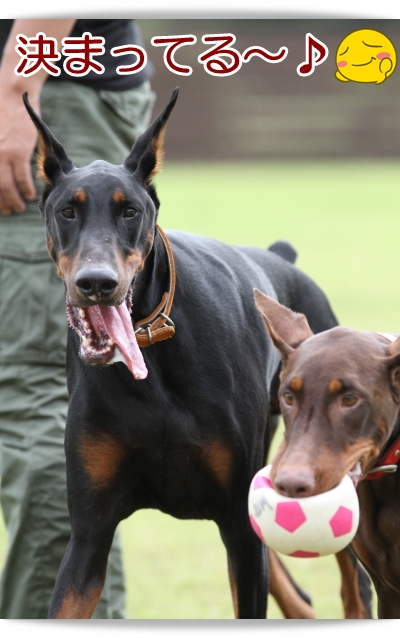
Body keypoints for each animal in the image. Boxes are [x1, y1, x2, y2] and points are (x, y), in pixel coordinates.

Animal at [23, 90, 362, 620]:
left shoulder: (239, 525)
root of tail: (281, 258)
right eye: (67, 211)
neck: (152, 363)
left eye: (129, 211)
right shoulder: (90, 533)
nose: (97, 283)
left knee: (354, 582)